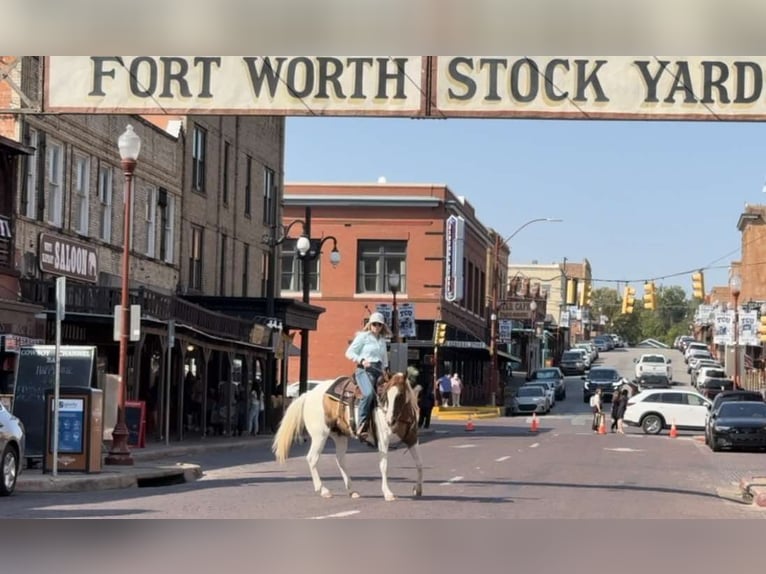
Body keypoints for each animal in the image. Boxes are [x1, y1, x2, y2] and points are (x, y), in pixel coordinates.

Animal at [272, 372, 426, 502]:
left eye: (400, 395)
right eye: (385, 396)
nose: (389, 421)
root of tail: (308, 394)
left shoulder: (412, 438)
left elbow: (419, 463)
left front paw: (418, 489)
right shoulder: (383, 440)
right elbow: (384, 466)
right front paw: (388, 493)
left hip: (339, 436)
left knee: (340, 460)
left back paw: (352, 491)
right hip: (319, 435)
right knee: (312, 458)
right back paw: (323, 490)